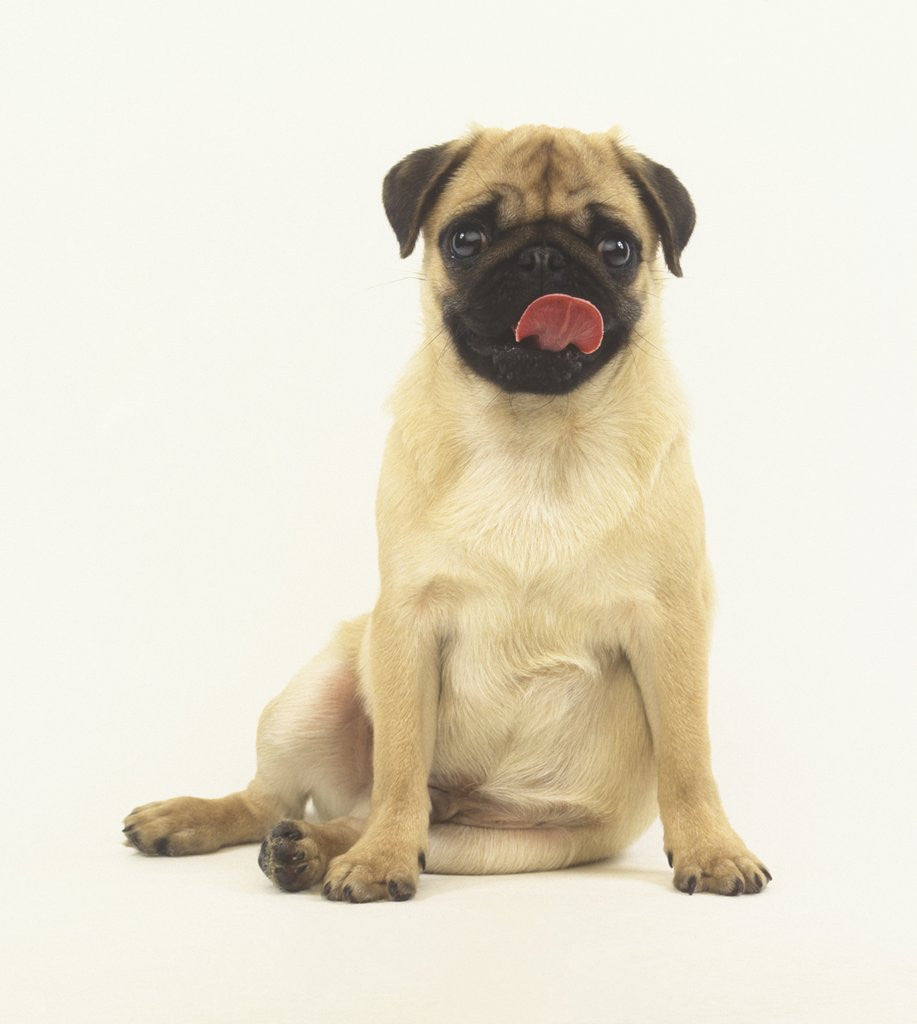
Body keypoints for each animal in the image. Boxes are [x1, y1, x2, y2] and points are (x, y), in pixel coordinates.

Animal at [121, 123, 765, 901]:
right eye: (465, 238)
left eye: (616, 248)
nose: (542, 257)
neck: (534, 435)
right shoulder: (407, 622)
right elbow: (401, 762)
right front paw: (383, 859)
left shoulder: (670, 625)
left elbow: (688, 756)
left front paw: (711, 847)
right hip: (309, 697)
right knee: (286, 798)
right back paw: (211, 822)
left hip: (501, 846)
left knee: (371, 821)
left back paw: (309, 849)